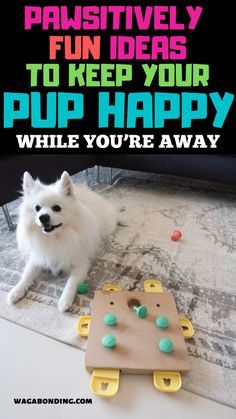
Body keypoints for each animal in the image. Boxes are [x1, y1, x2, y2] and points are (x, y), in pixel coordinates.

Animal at [7, 171, 120, 312]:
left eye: (57, 208)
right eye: (37, 208)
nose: (43, 217)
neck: (56, 238)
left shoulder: (81, 263)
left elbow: (72, 281)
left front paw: (65, 299)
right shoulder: (39, 257)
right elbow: (27, 274)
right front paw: (16, 291)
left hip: (107, 227)